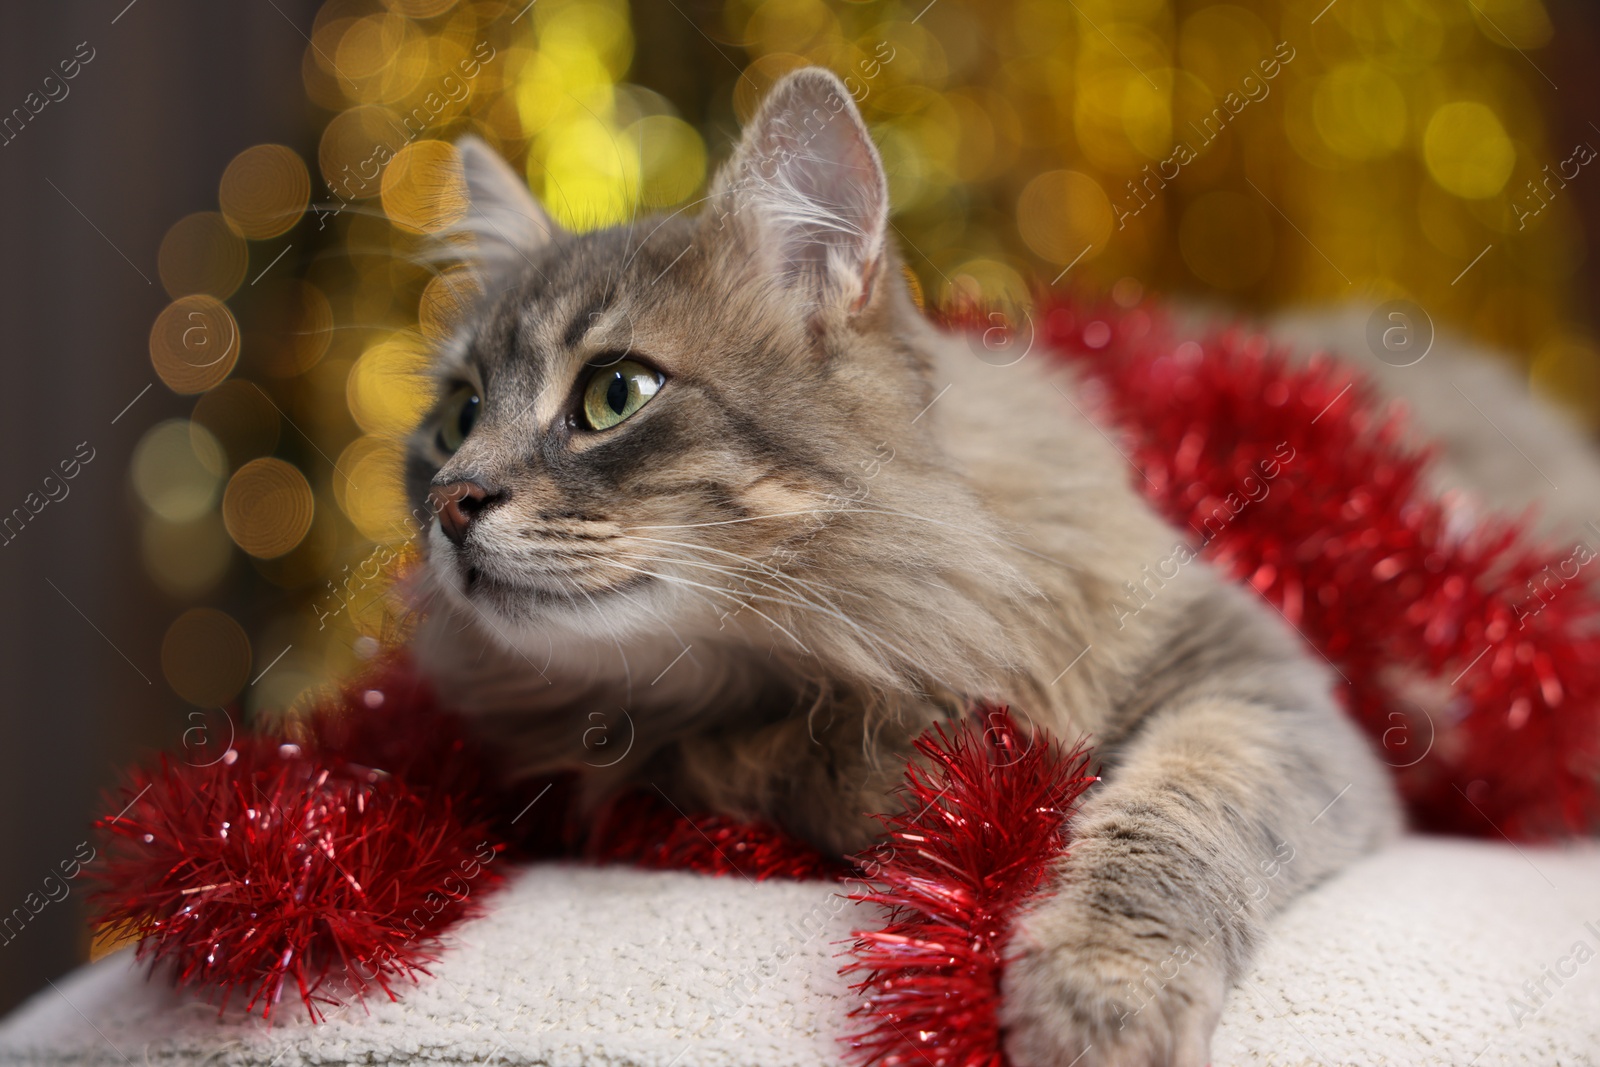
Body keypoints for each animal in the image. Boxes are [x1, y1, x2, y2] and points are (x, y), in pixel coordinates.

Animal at [403, 68, 1401, 1067]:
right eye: (458, 417)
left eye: (616, 393)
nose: (451, 500)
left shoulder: (1258, 691)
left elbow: (1170, 818)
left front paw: (1099, 990)